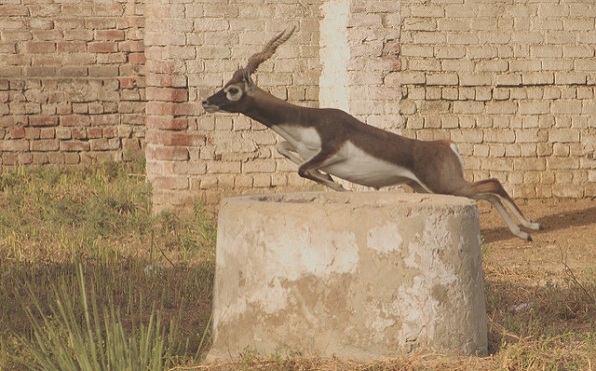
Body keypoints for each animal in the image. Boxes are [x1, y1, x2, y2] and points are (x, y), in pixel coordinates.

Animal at [203, 28, 544, 241]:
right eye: (224, 85)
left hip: (445, 184)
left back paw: (531, 226)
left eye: (232, 90)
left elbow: (304, 168)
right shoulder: (298, 148)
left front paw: (337, 185)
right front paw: (333, 183)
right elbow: (285, 151)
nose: (206, 102)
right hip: (431, 188)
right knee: (486, 192)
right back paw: (523, 232)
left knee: (493, 184)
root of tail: (447, 144)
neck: (304, 120)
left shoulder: (332, 148)